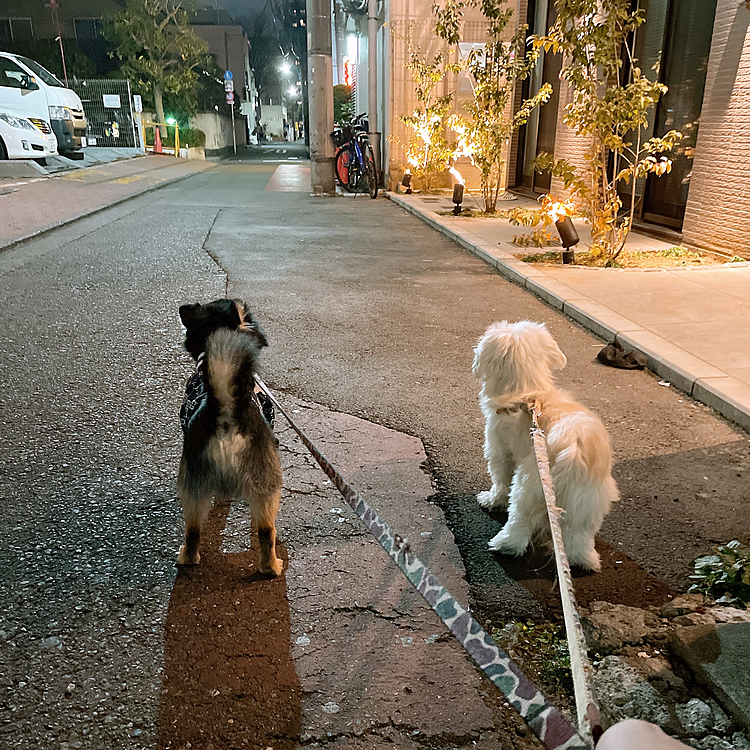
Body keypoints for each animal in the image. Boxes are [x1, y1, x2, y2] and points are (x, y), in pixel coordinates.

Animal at [178, 298, 284, 576]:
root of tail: (225, 409)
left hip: (193, 484)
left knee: (193, 530)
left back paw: (189, 558)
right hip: (268, 485)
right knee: (266, 532)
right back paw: (272, 566)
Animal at [472, 320, 620, 572]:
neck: (528, 392)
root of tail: (573, 451)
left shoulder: (499, 449)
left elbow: (500, 481)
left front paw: (492, 500)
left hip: (529, 484)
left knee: (520, 518)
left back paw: (504, 544)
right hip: (589, 502)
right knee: (579, 537)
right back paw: (583, 560)